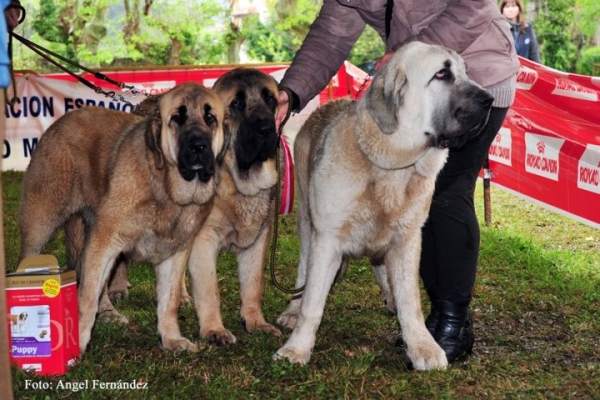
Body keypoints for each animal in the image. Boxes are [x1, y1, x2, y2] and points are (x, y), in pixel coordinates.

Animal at [18, 81, 226, 354]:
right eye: (176, 118)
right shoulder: (106, 241)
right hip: (41, 225)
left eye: (210, 118)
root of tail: (61, 122)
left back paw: (108, 313)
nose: (198, 146)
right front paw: (78, 344)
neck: (165, 187)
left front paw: (171, 338)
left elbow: (169, 302)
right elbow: (87, 297)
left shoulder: (174, 253)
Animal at [274, 42, 494, 370]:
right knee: (304, 273)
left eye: (466, 72)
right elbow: (312, 302)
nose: (489, 99)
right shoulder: (327, 239)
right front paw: (297, 348)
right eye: (442, 74)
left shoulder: (407, 240)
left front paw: (422, 346)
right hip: (306, 222)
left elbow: (410, 301)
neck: (389, 165)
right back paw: (292, 310)